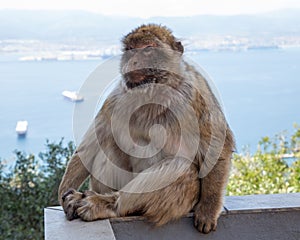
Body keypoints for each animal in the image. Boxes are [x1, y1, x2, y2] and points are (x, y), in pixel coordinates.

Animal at [58, 23, 234, 233]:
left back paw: (109, 205)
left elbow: (218, 147)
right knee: (107, 146)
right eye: (130, 49)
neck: (153, 92)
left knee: (180, 167)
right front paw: (63, 192)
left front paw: (208, 209)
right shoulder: (116, 96)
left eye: (148, 48)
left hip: (183, 200)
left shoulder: (197, 93)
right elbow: (93, 142)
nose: (133, 60)